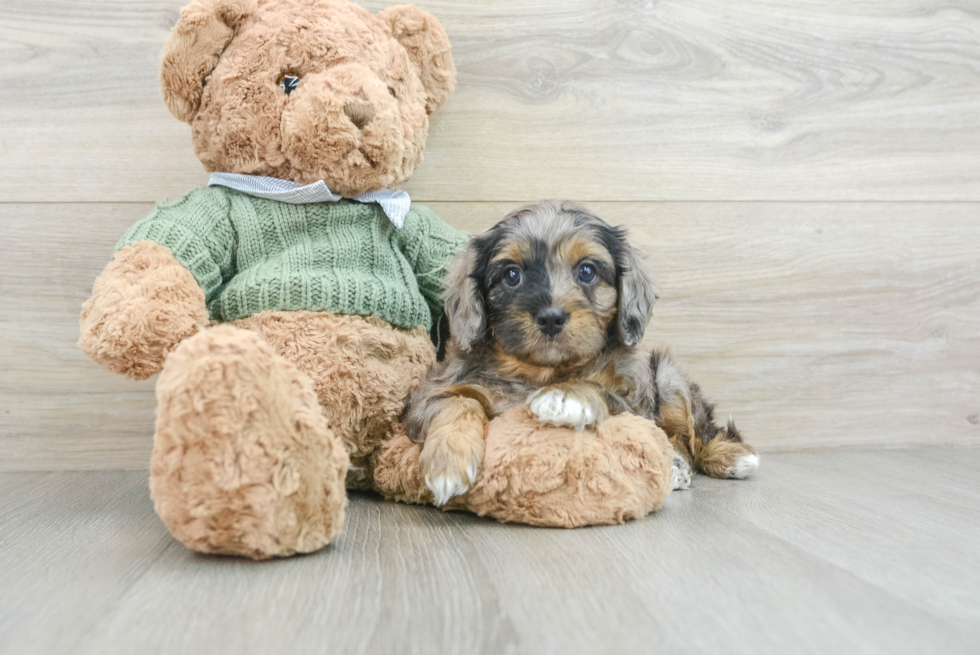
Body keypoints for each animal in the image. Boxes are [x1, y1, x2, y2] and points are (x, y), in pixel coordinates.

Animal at [402, 199, 756, 502]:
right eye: (512, 275)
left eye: (587, 271)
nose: (551, 317)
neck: (543, 371)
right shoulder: (429, 394)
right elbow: (458, 402)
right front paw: (448, 463)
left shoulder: (633, 407)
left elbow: (596, 388)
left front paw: (565, 396)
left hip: (667, 377)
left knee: (695, 436)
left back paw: (728, 458)